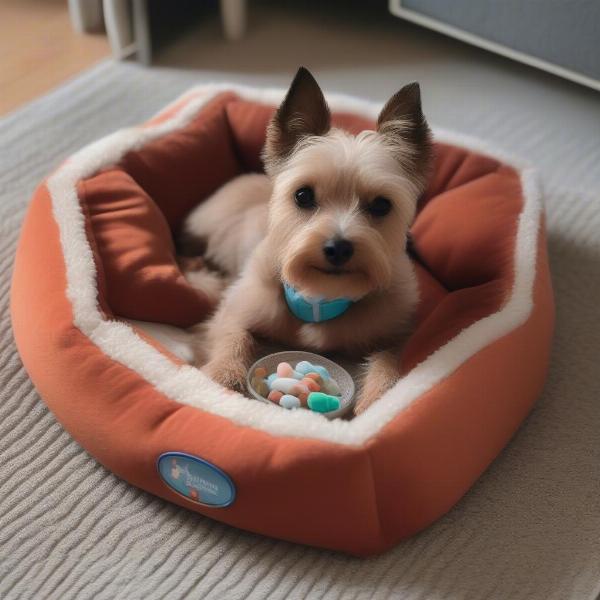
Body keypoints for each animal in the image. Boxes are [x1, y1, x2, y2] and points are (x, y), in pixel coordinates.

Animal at [179, 65, 432, 412]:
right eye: (303, 195)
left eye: (382, 205)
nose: (338, 248)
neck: (320, 297)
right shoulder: (235, 310)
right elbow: (233, 339)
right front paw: (222, 379)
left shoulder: (394, 333)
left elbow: (387, 363)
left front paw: (378, 399)